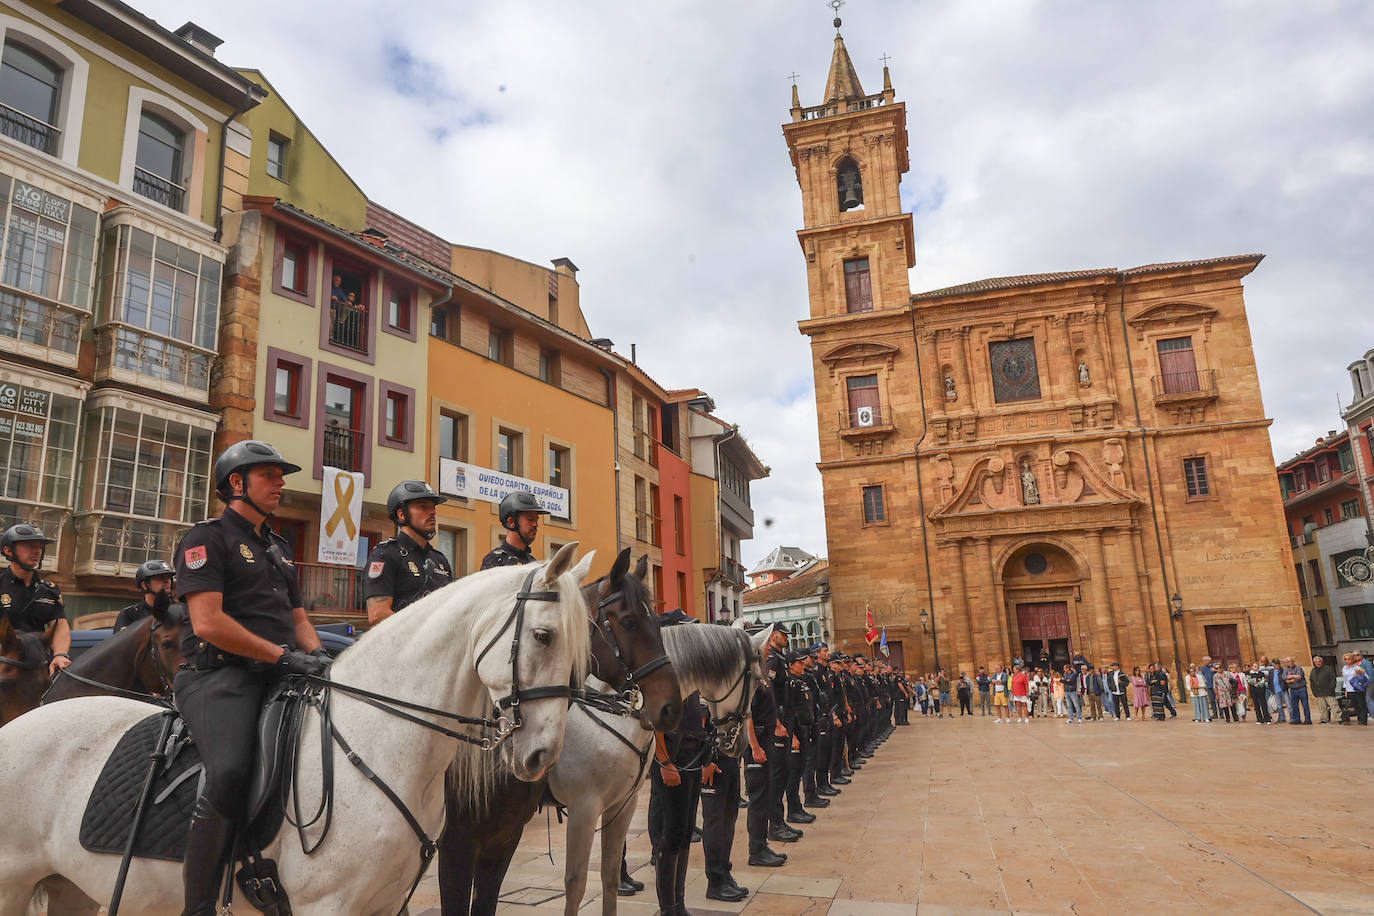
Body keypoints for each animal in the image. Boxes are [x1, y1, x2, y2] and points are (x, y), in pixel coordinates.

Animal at [549, 623, 774, 916]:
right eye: (757, 681)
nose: (741, 744)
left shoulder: (624, 801)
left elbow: (610, 874)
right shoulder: (583, 807)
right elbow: (576, 883)